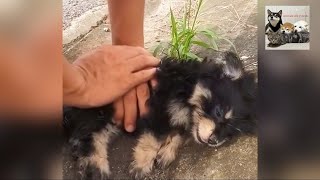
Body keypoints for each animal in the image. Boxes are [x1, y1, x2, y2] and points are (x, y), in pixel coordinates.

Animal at [63, 51, 258, 179]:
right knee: (89, 138)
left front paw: (166, 153)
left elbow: (179, 133)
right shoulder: (159, 111)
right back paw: (97, 169)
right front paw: (141, 165)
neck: (188, 89)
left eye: (230, 133)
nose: (213, 141)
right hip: (100, 112)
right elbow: (154, 139)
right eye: (218, 112)